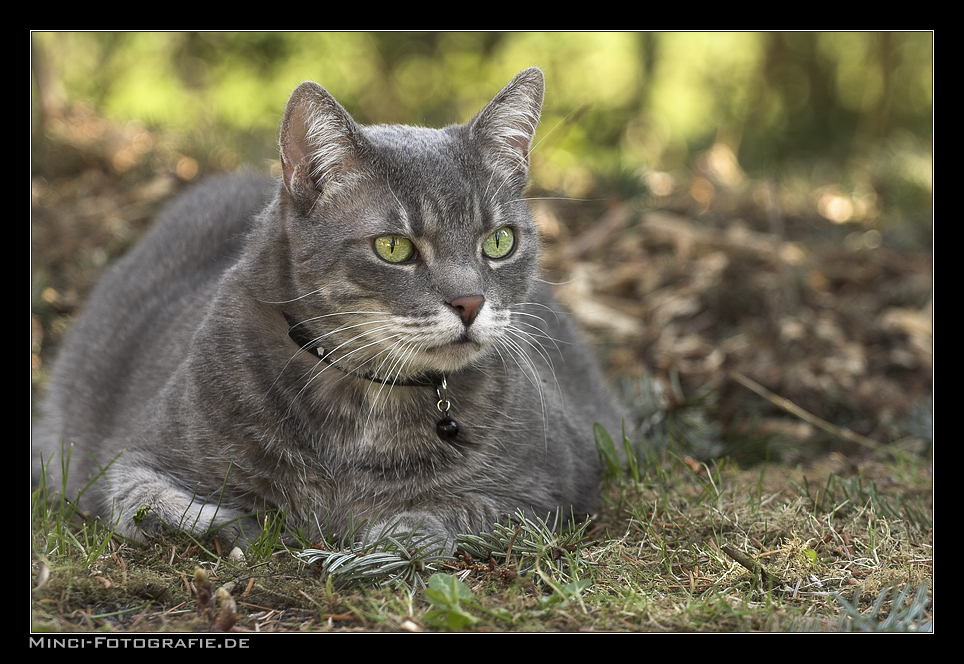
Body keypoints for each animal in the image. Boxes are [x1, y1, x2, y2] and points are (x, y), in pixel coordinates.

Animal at [32, 70, 624, 552]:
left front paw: (376, 531)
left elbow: (455, 513)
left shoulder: (552, 484)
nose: (470, 302)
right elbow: (159, 505)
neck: (368, 398)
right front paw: (256, 525)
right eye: (393, 247)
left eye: (499, 242)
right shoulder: (129, 462)